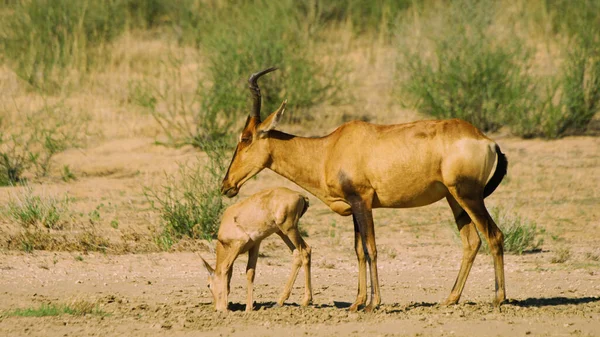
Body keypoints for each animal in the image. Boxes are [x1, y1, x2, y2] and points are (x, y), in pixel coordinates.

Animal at [220, 67, 506, 312]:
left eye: (245, 138)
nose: (226, 185)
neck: (329, 148)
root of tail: (487, 141)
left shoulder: (363, 202)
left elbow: (371, 249)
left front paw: (372, 303)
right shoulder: (354, 206)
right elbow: (359, 251)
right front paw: (357, 302)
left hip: (469, 195)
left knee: (494, 235)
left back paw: (498, 299)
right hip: (454, 198)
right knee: (471, 241)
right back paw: (450, 299)